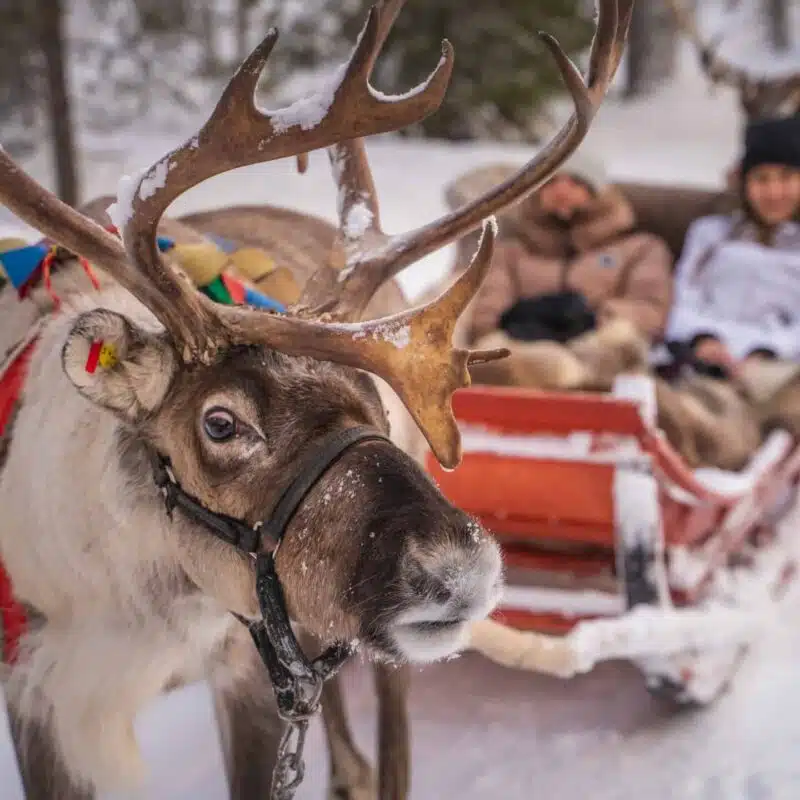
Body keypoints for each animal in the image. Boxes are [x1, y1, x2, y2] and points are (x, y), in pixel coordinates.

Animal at [0, 1, 632, 798]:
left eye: (378, 400)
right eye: (220, 422)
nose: (460, 569)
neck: (132, 607)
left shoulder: (242, 664)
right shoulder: (42, 697)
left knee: (387, 745)